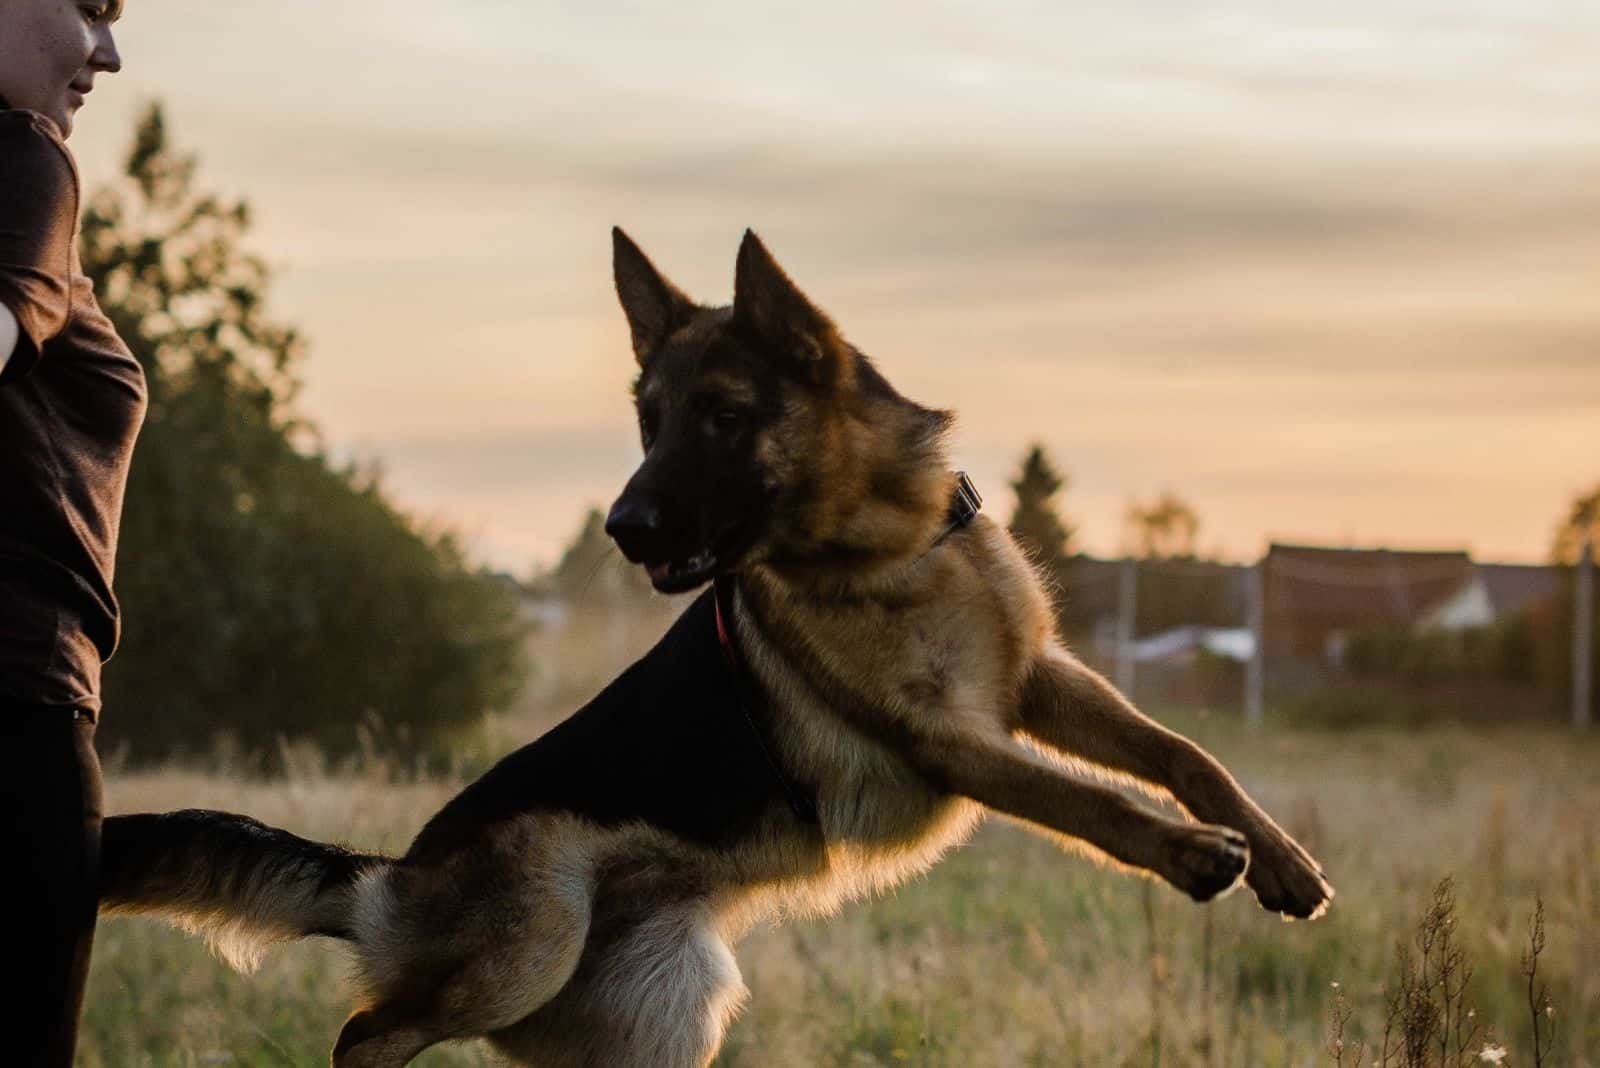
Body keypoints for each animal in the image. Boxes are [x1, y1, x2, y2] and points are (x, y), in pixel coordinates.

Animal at [93, 230, 1331, 1061]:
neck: (892, 546)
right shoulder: (953, 741)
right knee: (367, 1031)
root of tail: (387, 877)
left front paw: (1278, 857)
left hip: (663, 1019)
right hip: (532, 940)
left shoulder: (1035, 685)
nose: (621, 528)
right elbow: (1092, 801)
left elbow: (1180, 755)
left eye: (722, 417)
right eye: (647, 422)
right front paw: (1192, 854)